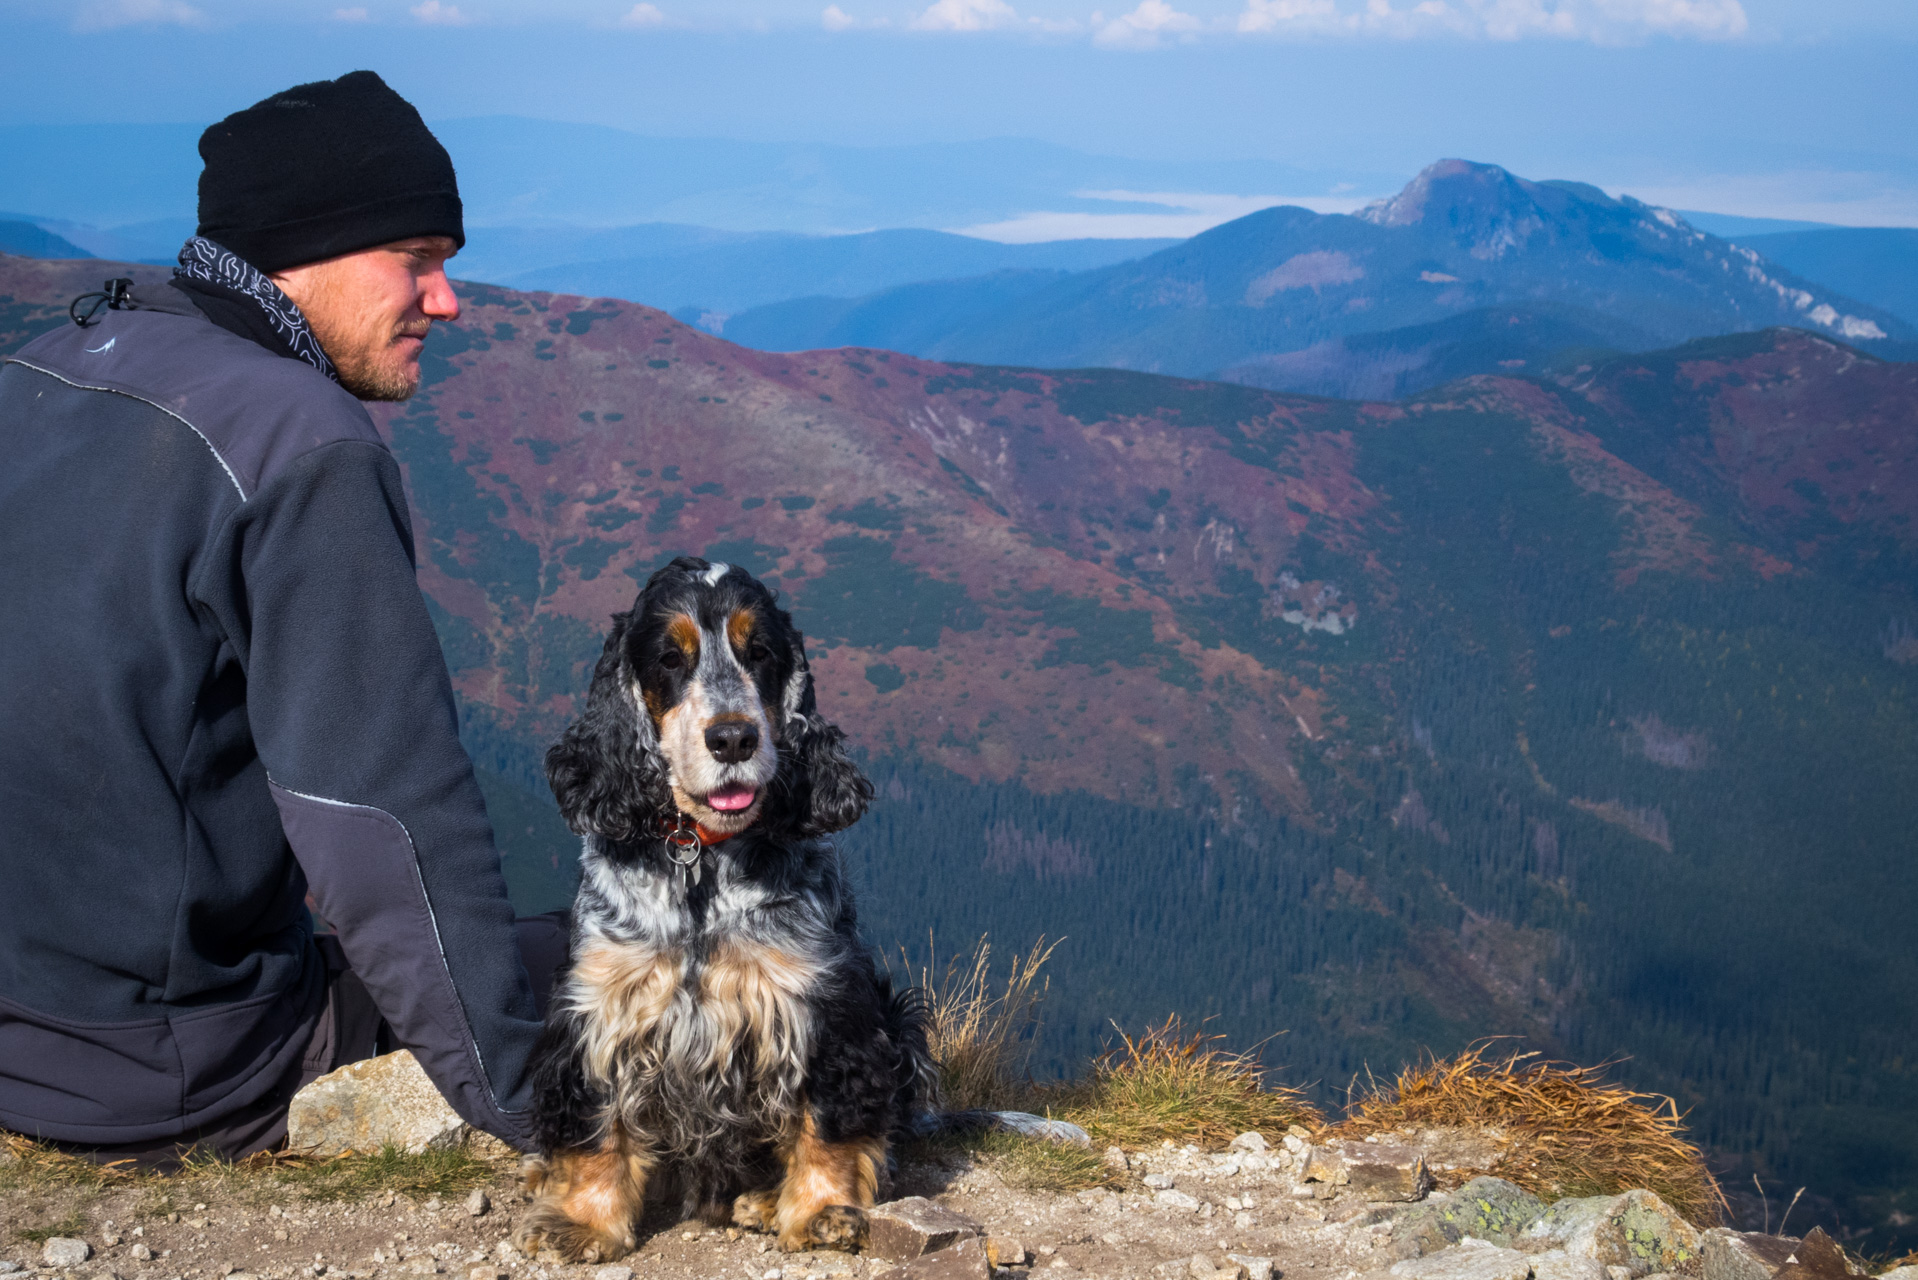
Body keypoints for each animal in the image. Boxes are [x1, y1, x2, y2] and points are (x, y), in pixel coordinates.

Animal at [510, 556, 928, 1258]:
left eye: (760, 652)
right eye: (669, 659)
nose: (733, 738)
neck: (701, 859)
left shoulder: (825, 1005)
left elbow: (828, 1120)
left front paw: (822, 1210)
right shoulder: (599, 1004)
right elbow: (597, 1124)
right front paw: (583, 1220)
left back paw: (764, 1200)